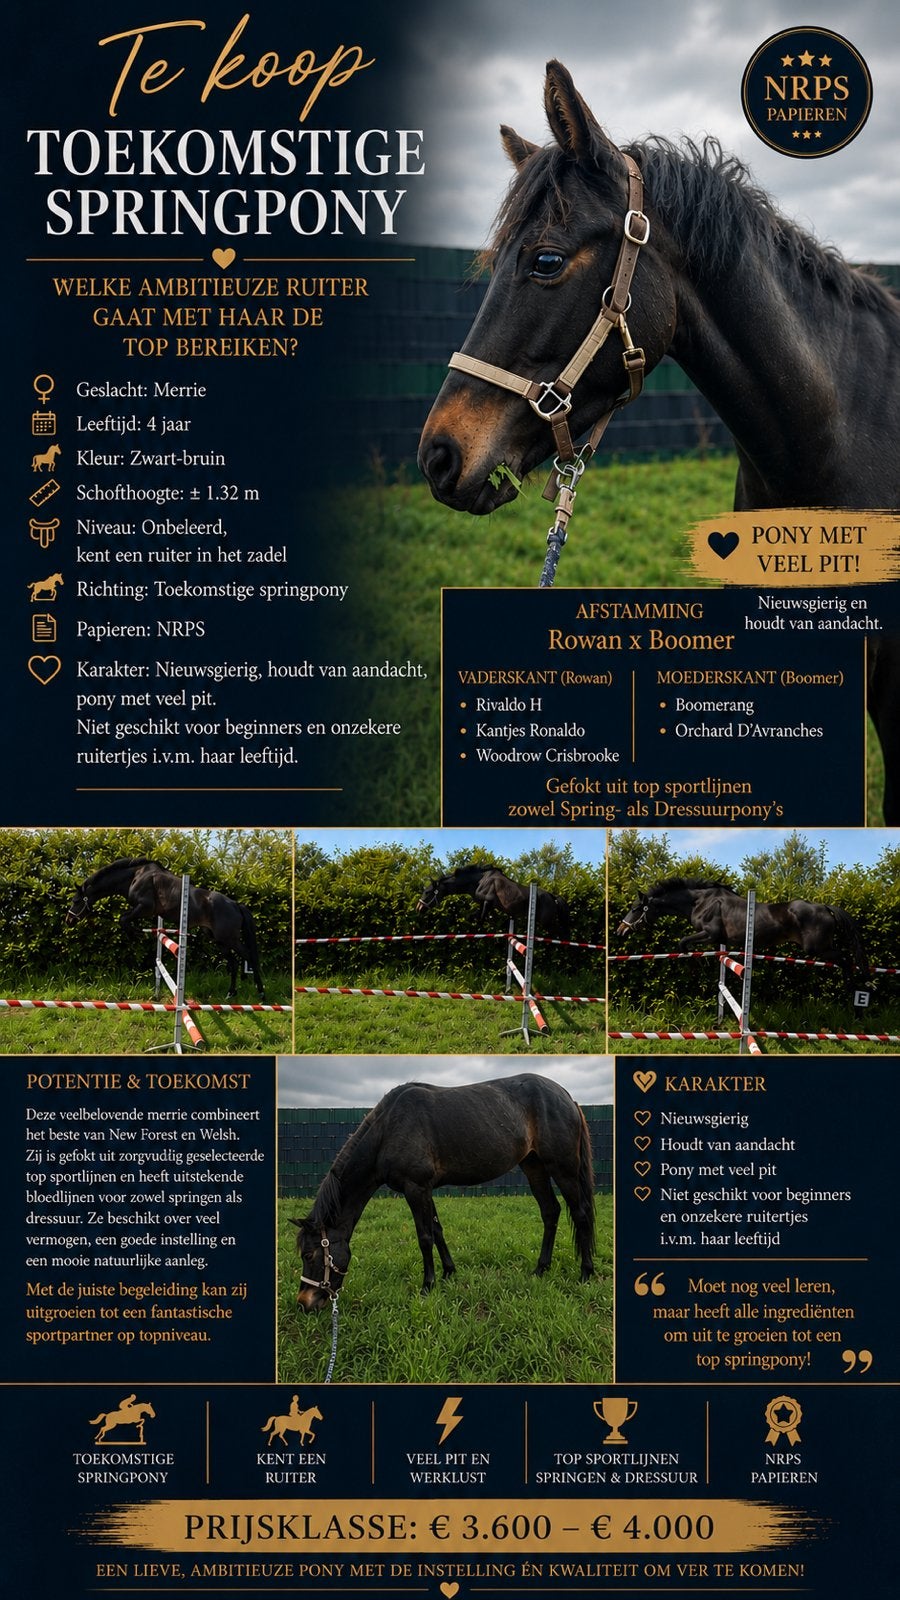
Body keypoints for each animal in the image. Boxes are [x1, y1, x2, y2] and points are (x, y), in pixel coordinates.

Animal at [66, 857, 265, 999]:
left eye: (76, 901)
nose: (69, 920)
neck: (135, 877)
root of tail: (235, 904)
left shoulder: (144, 907)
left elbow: (123, 919)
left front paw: (135, 935)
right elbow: (124, 919)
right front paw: (135, 933)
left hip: (230, 939)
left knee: (249, 957)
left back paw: (261, 993)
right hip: (219, 940)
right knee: (234, 963)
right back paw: (231, 993)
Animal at [293, 1074, 596, 1308]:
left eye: (308, 1255)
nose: (305, 1302)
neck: (388, 1129)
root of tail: (566, 1096)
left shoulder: (415, 1188)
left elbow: (425, 1237)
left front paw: (428, 1285)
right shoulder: (425, 1189)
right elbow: (437, 1230)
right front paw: (449, 1272)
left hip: (563, 1169)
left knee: (580, 1214)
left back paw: (586, 1273)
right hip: (534, 1167)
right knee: (550, 1211)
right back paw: (540, 1269)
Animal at [416, 863, 571, 939]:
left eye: (427, 892)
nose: (418, 908)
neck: (479, 881)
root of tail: (553, 897)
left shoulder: (488, 902)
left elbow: (480, 919)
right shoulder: (482, 904)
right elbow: (472, 916)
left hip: (546, 922)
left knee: (559, 933)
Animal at [617, 876, 870, 986]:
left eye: (635, 908)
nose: (620, 930)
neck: (699, 901)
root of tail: (825, 907)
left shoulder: (711, 934)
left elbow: (683, 942)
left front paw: (692, 967)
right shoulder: (718, 940)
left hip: (817, 948)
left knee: (846, 959)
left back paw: (854, 985)